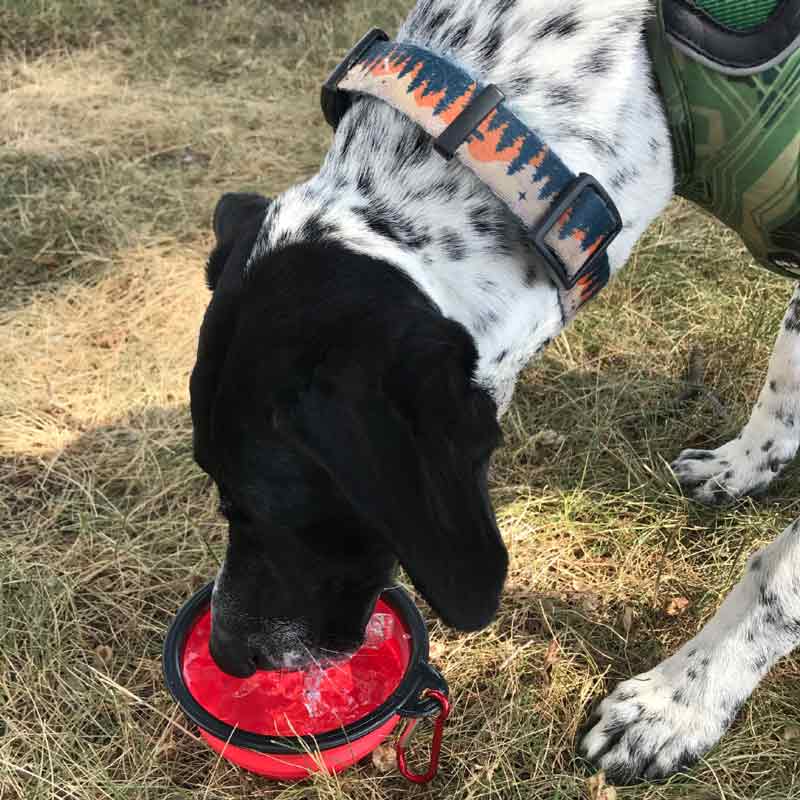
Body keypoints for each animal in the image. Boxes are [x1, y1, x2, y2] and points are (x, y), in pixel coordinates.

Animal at [191, 0, 800, 784]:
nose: (227, 653)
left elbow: (776, 576)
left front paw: (675, 703)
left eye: (265, 503)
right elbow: (786, 376)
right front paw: (747, 464)